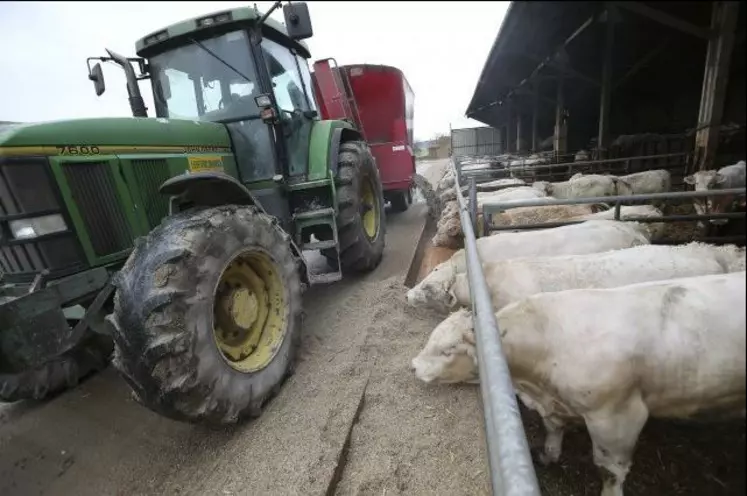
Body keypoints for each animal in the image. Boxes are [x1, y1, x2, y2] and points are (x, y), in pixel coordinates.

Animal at [412, 272, 747, 496]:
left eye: (448, 350)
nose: (414, 366)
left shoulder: (617, 417)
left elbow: (609, 469)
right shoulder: (552, 404)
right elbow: (552, 429)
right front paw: (547, 455)